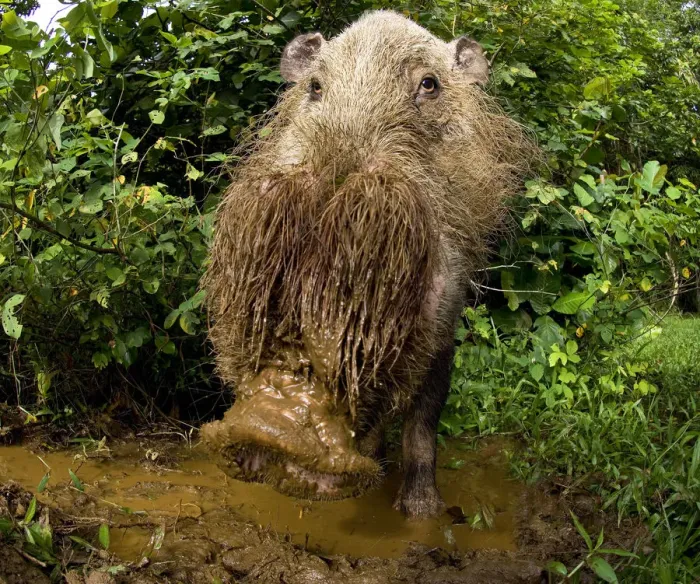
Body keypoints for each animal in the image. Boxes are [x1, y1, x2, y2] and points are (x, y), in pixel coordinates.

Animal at [201, 10, 532, 518]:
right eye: (315, 86)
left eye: (429, 84)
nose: (271, 425)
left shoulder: (447, 318)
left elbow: (424, 421)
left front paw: (421, 514)